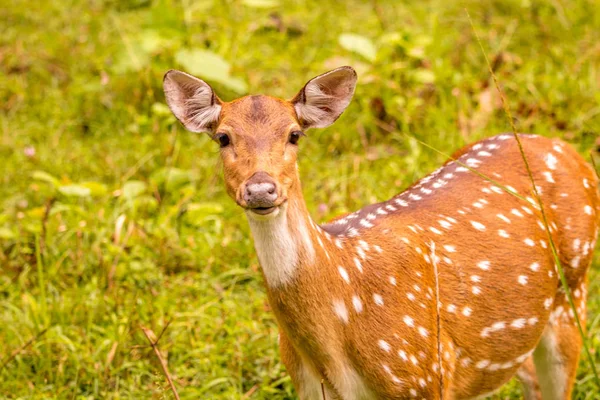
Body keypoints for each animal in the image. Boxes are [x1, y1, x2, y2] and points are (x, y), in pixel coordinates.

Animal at [162, 67, 596, 398]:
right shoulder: (306, 385)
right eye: (223, 137)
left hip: (573, 288)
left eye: (294, 134)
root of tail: (568, 151)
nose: (261, 189)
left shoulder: (425, 373)